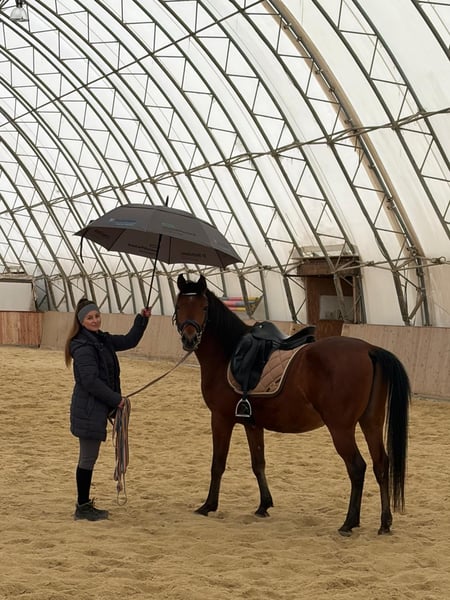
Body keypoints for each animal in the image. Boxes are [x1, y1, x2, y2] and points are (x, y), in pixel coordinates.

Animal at [174, 274, 410, 536]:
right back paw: (384, 523)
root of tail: (370, 349)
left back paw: (349, 522)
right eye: (179, 306)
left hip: (341, 428)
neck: (229, 353)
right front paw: (263, 505)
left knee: (357, 467)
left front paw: (208, 505)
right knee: (381, 464)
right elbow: (258, 463)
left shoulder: (220, 418)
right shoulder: (252, 424)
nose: (189, 339)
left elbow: (218, 463)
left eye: (204, 307)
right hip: (371, 422)